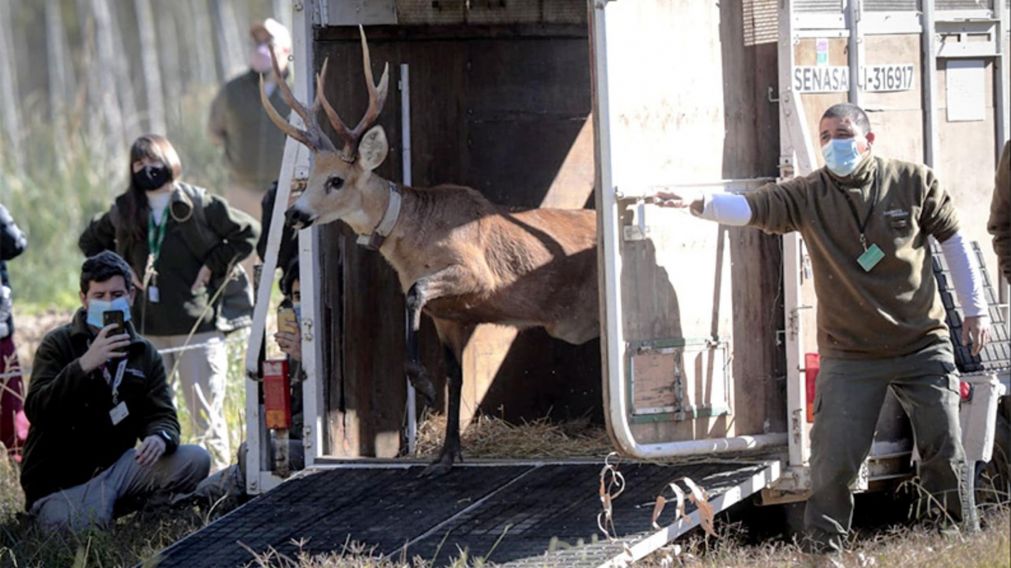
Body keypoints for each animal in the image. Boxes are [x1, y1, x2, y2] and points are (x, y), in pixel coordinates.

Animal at [261, 28, 599, 474]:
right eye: (309, 176)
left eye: (335, 180)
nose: (294, 214)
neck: (415, 234)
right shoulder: (448, 315)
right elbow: (455, 374)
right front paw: (447, 454)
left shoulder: (476, 274)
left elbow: (413, 293)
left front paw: (422, 386)